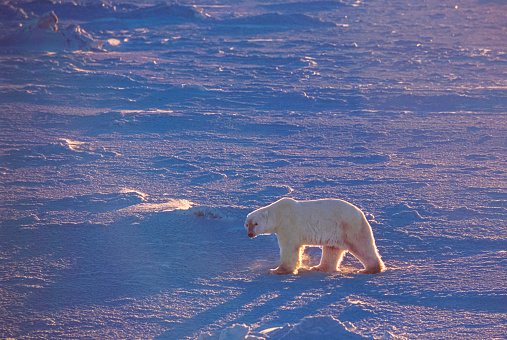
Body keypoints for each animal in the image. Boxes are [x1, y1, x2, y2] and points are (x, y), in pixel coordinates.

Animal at [246, 198, 384, 274]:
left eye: (256, 223)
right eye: (247, 224)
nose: (250, 234)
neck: (278, 214)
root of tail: (361, 213)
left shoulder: (289, 225)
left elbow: (289, 248)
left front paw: (276, 271)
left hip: (349, 227)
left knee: (362, 246)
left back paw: (369, 269)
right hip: (336, 232)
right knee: (331, 250)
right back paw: (319, 267)